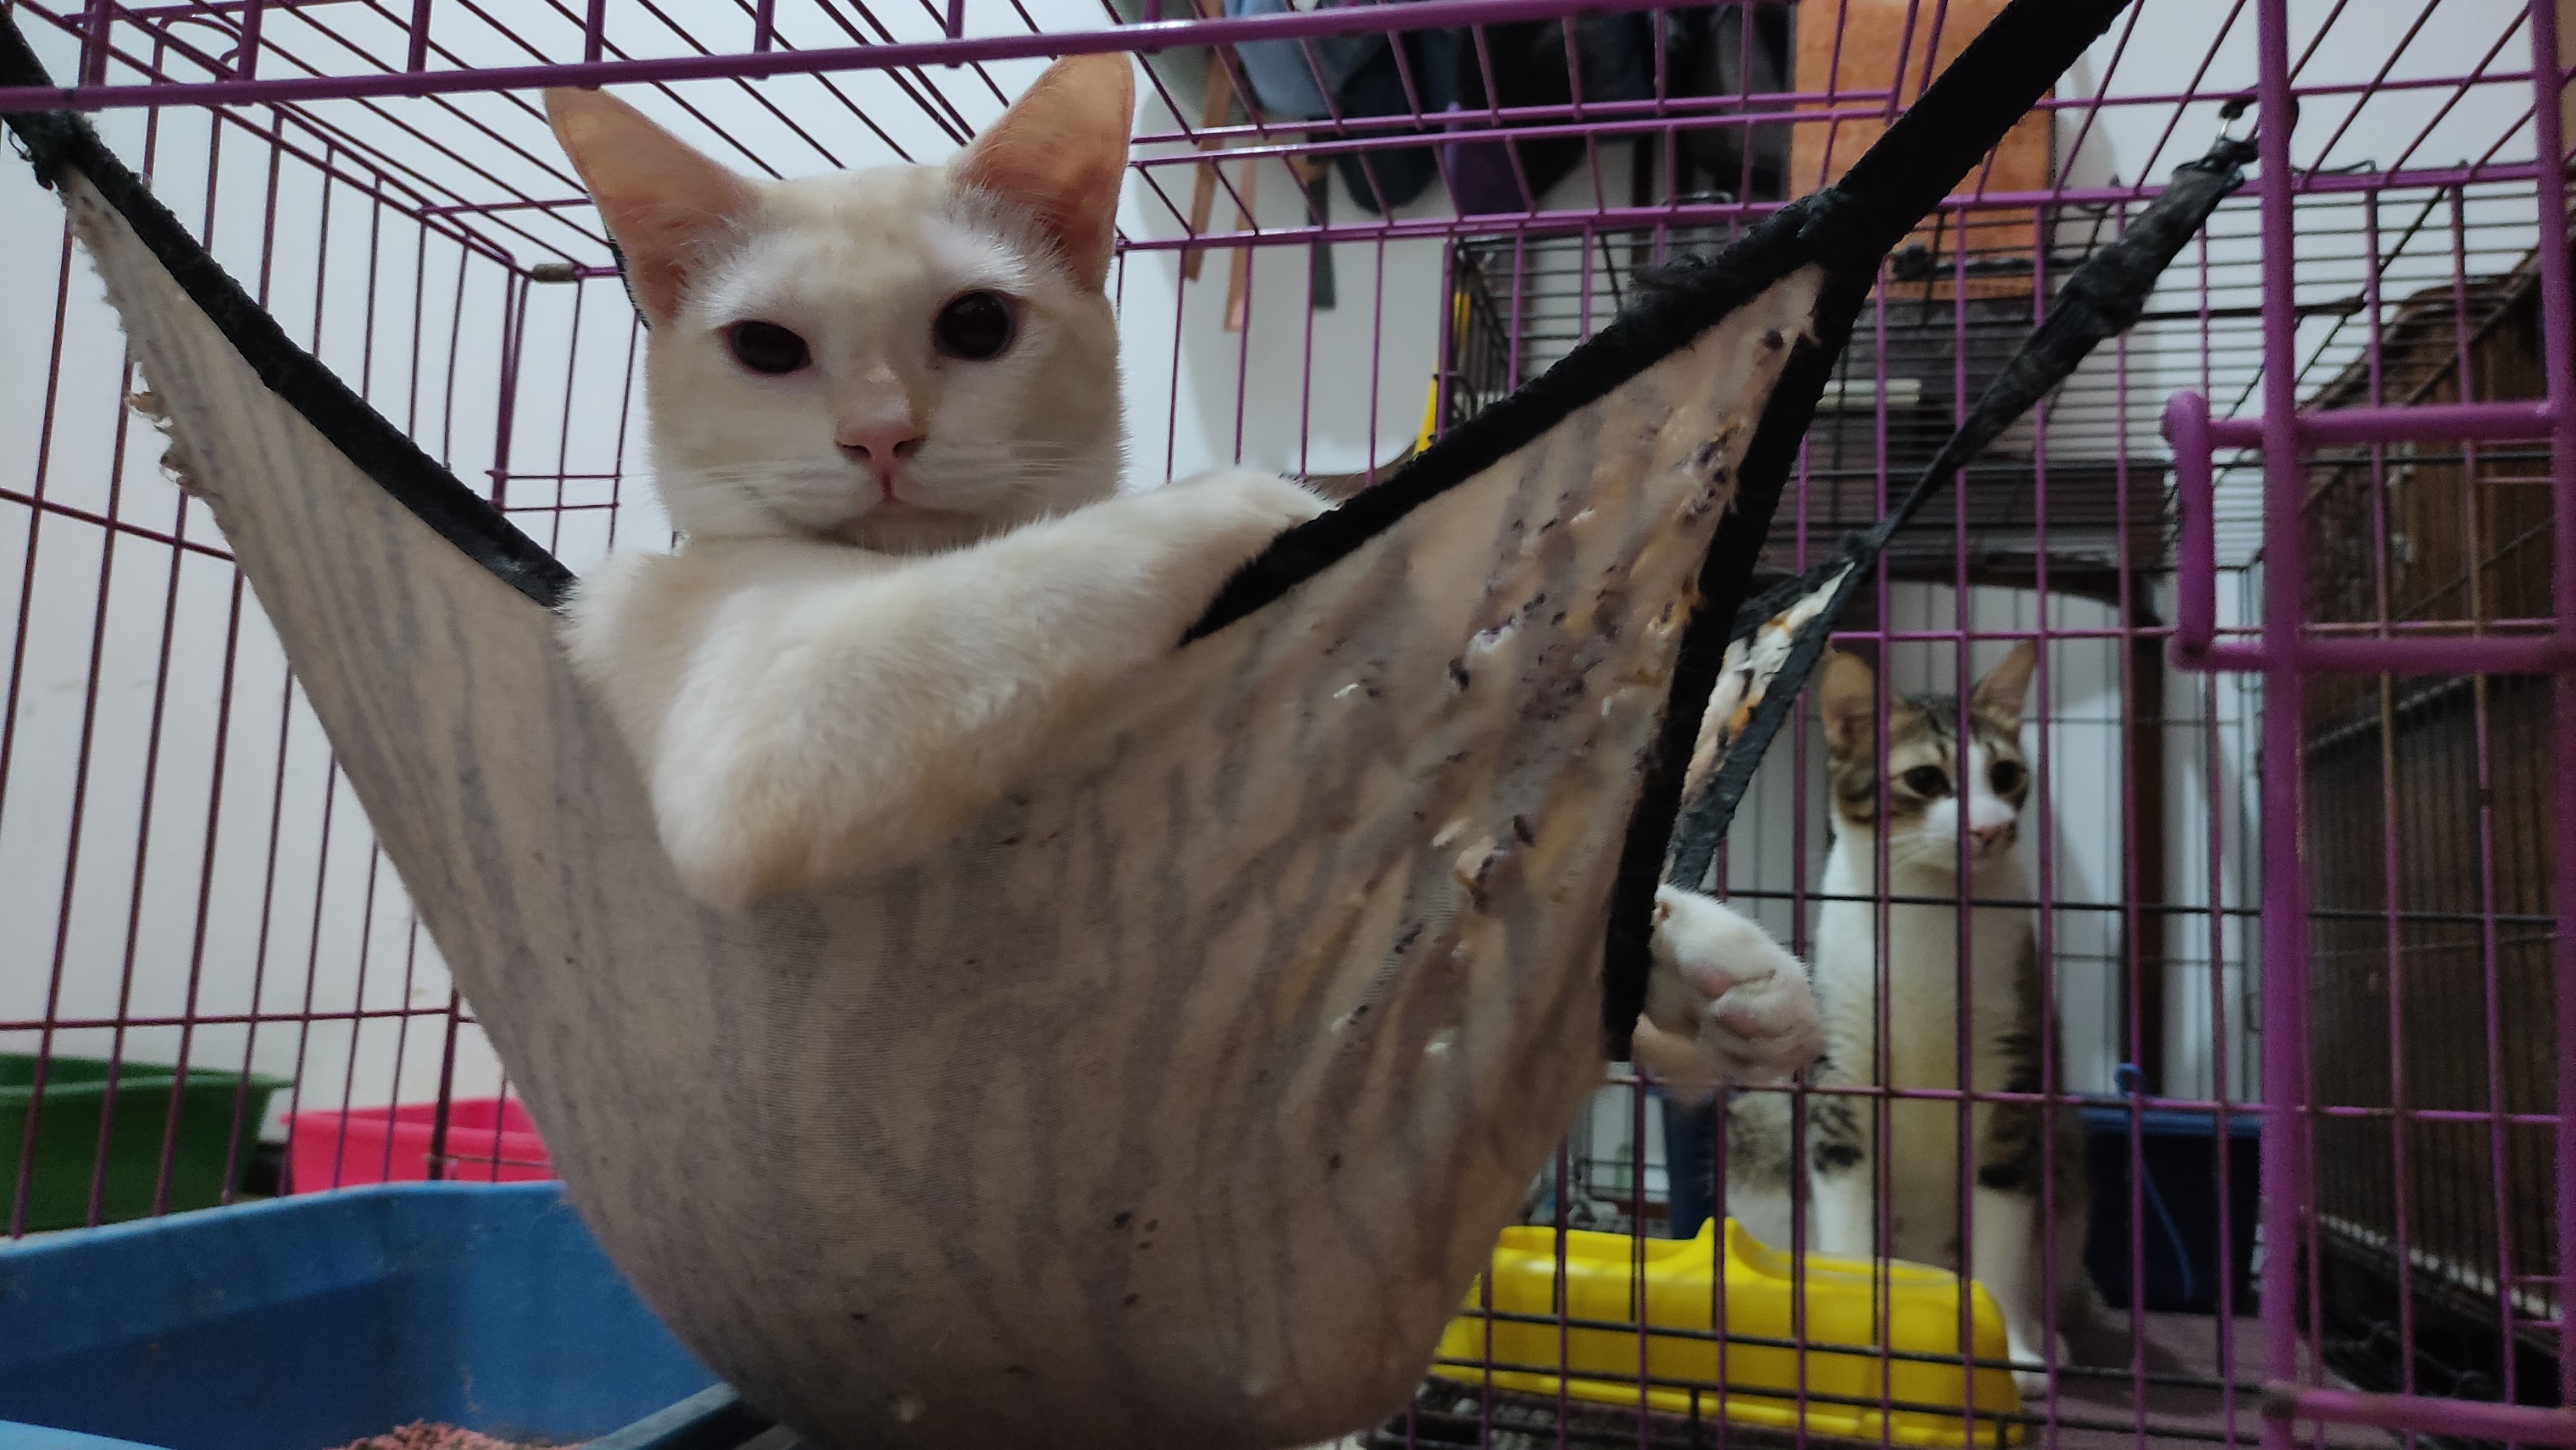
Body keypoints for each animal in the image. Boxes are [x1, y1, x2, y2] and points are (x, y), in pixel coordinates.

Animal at [1722, 643, 2096, 1387]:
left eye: (2006, 774)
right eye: (1926, 778)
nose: (1990, 827)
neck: (1929, 911)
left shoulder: (2010, 1071)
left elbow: (2000, 1232)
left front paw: (2013, 1351)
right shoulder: (1842, 1071)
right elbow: (1846, 1219)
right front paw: (1854, 1331)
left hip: (2066, 1164)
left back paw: (2049, 1335)